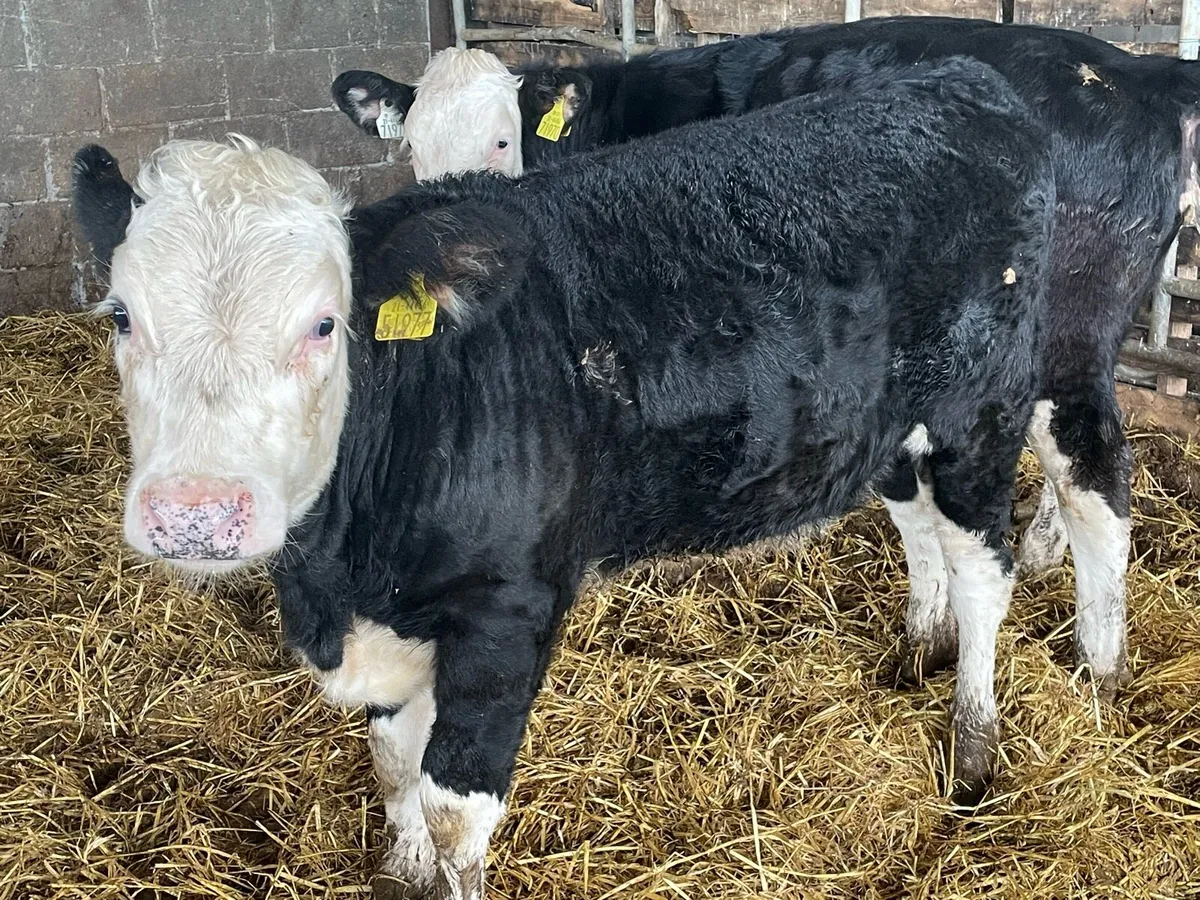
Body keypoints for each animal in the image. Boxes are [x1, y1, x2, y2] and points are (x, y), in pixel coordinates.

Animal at [75, 54, 1056, 898]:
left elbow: (452, 810)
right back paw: (920, 646)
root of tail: (963, 83)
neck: (342, 570)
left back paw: (972, 748)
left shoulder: (508, 607)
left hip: (982, 409)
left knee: (984, 568)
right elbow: (393, 763)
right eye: (121, 314)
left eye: (323, 324)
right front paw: (400, 867)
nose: (197, 516)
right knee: (918, 522)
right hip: (890, 425)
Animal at [335, 17, 1200, 695]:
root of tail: (1136, 71)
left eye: (502, 137)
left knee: (1097, 476)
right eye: (413, 147)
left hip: (1059, 336)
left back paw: (1098, 668)